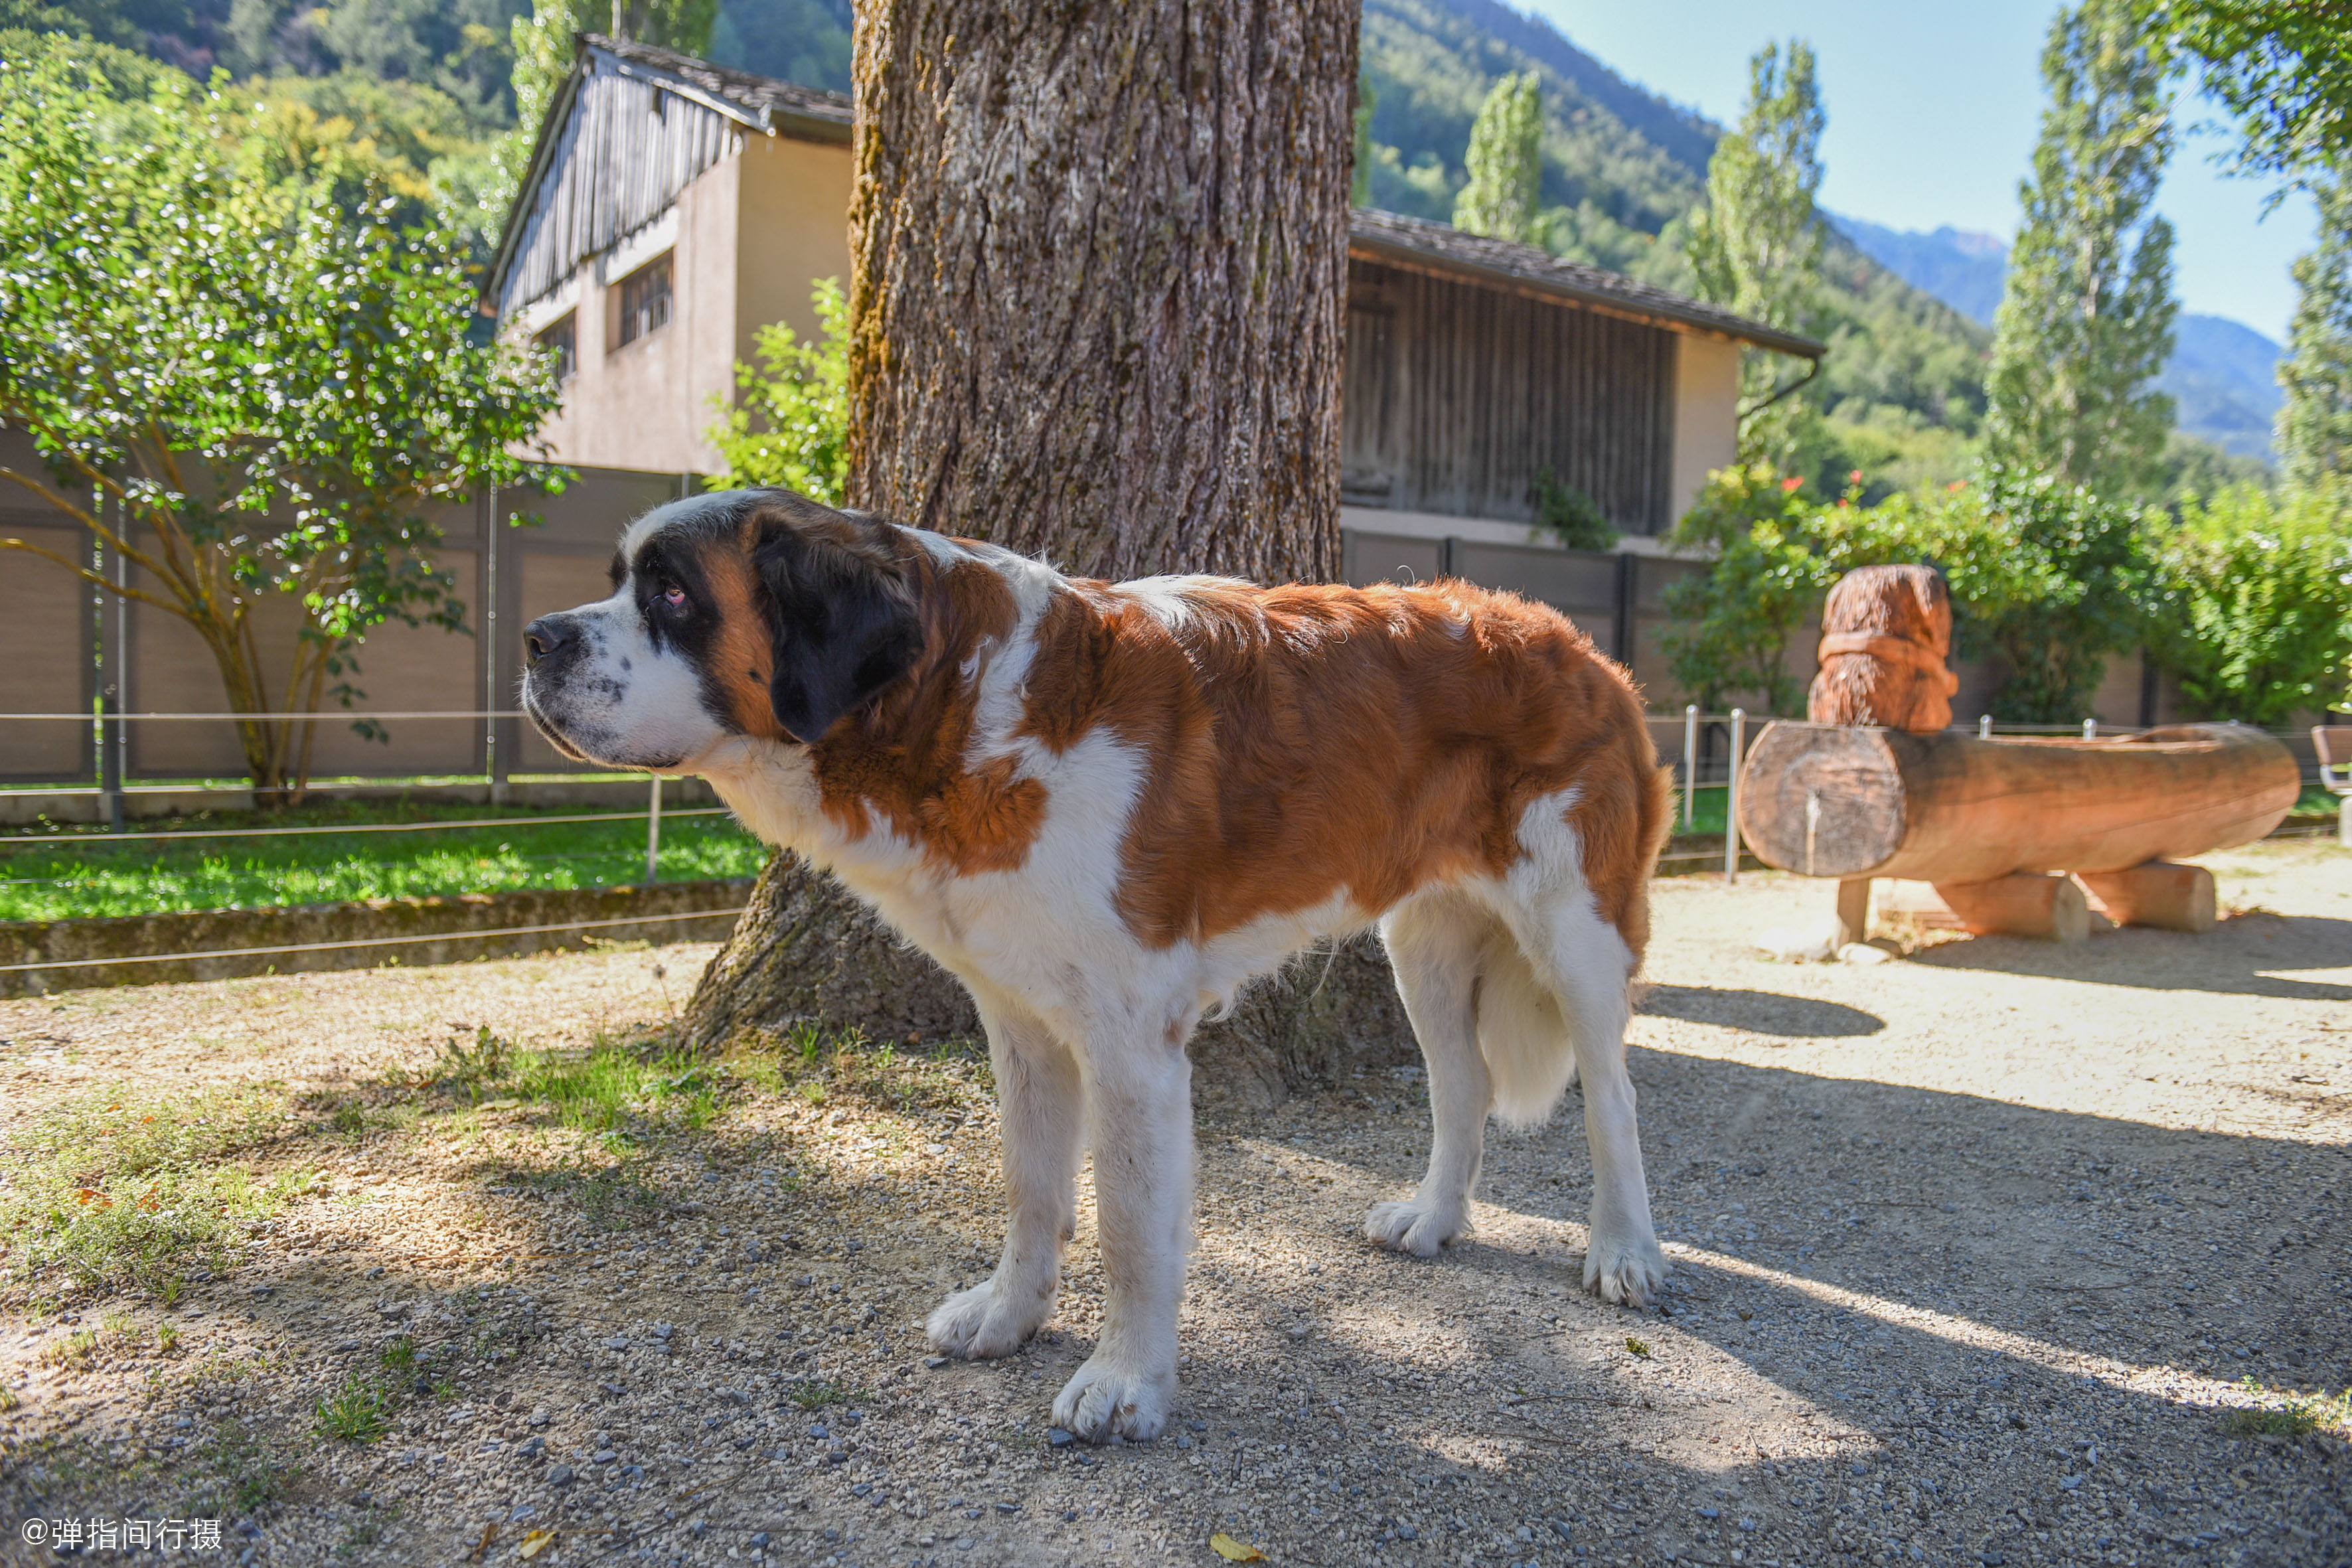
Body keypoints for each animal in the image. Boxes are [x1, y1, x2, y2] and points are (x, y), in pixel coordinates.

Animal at [524, 487, 1684, 1448]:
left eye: (673, 592)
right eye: (620, 579)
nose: (536, 636)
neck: (960, 707)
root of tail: (1575, 642)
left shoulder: (1131, 1043)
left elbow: (1129, 1223)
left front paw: (1125, 1381)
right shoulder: (1022, 1019)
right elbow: (1032, 1183)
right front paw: (1008, 1314)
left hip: (1577, 928)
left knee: (1613, 1096)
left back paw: (1625, 1249)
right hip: (1423, 942)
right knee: (1460, 1083)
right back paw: (1435, 1219)